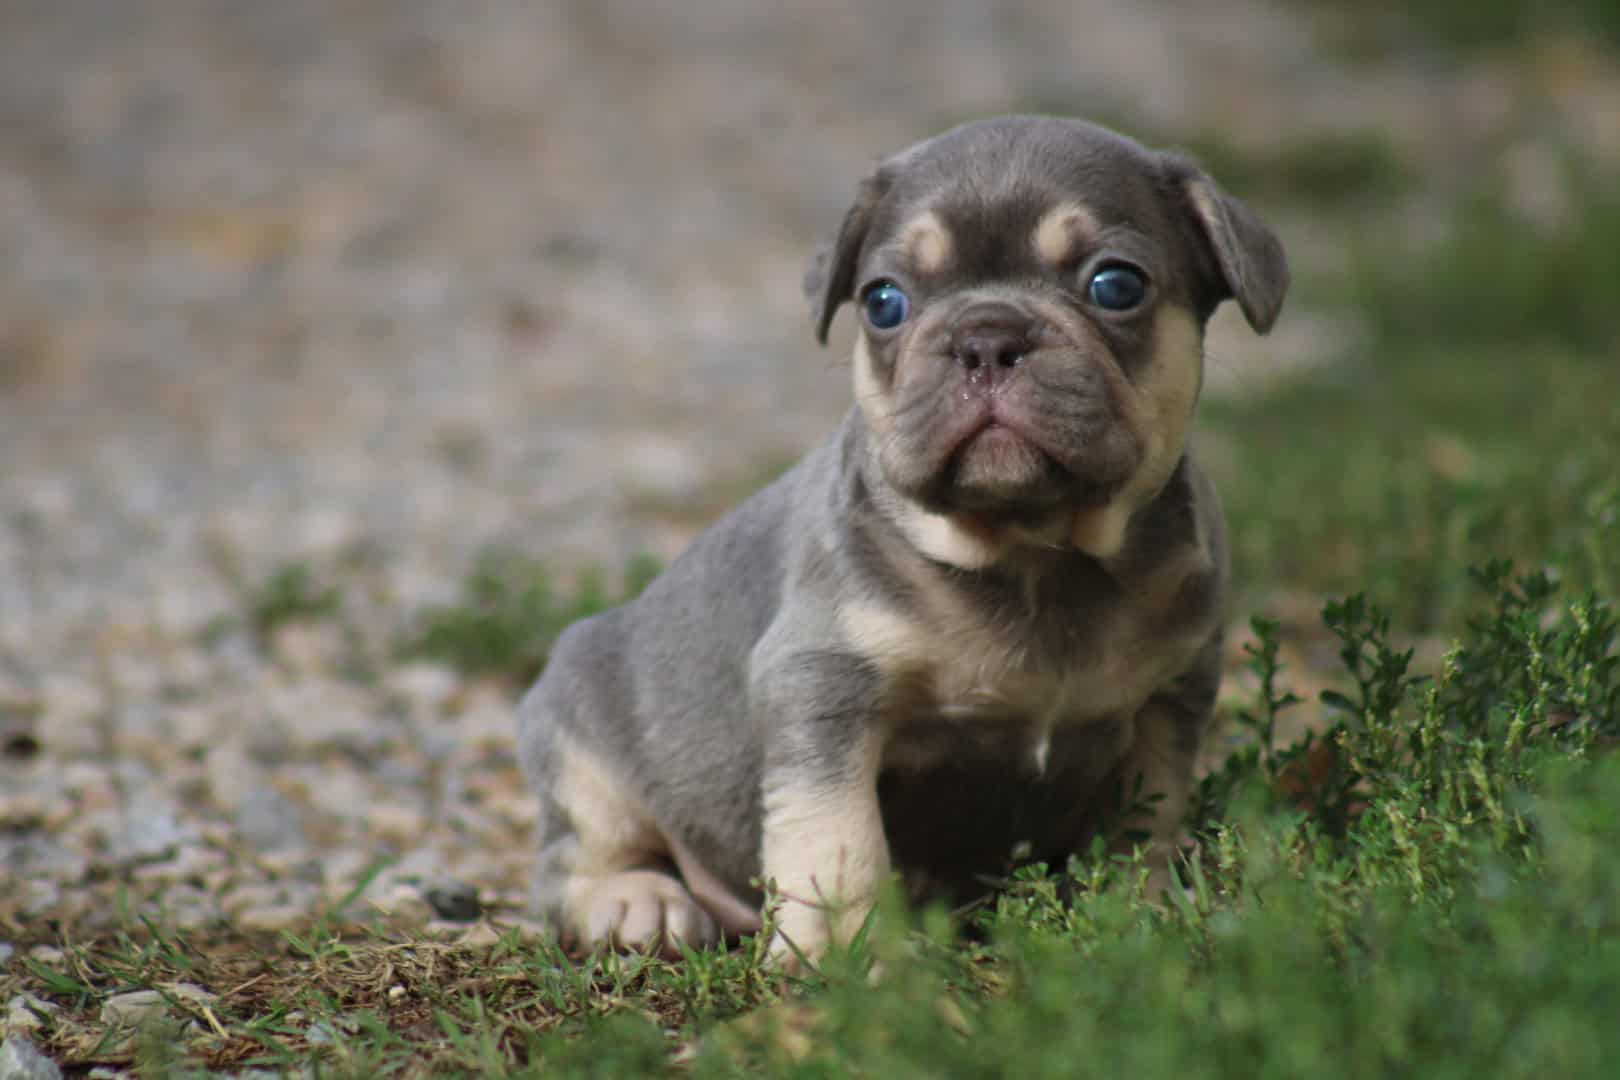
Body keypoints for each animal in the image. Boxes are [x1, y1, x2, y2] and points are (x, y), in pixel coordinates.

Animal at [511, 116, 1283, 965]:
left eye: (1117, 286)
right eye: (884, 302)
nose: (986, 337)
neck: (1034, 556)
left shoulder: (1167, 703)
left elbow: (1139, 829)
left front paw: (1133, 920)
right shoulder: (826, 694)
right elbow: (839, 844)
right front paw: (843, 961)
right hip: (582, 751)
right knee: (576, 860)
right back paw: (638, 901)